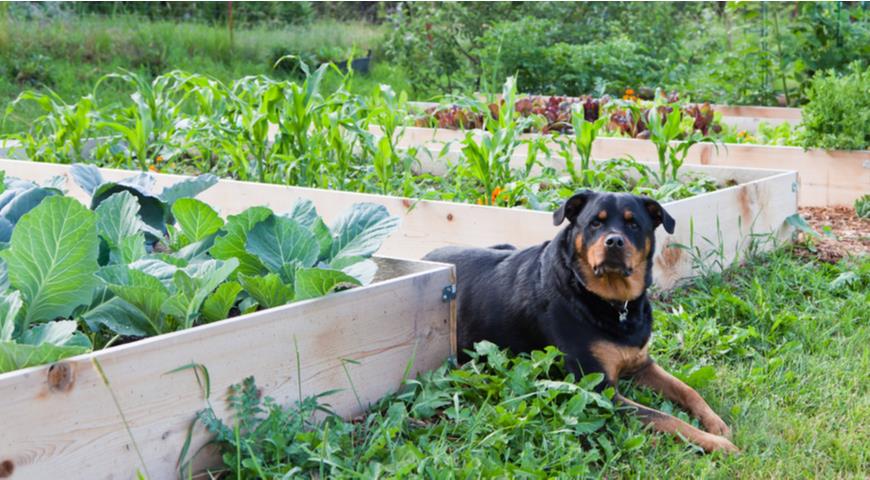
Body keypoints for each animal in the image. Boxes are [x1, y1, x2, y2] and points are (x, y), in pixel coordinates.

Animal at [426, 189, 740, 452]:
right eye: (595, 224)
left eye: (633, 224)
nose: (614, 241)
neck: (612, 303)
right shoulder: (599, 390)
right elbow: (665, 418)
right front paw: (716, 444)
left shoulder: (641, 364)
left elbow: (687, 390)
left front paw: (717, 424)